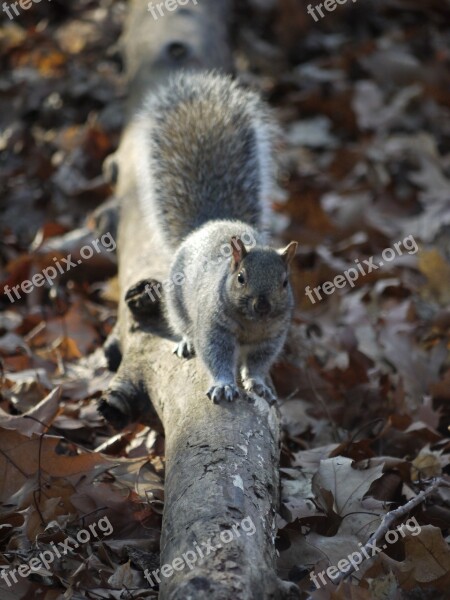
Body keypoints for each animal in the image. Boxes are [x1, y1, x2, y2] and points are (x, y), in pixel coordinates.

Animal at [134, 72, 296, 406]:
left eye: (285, 282)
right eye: (241, 278)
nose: (262, 305)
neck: (252, 323)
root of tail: (211, 224)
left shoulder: (273, 336)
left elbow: (258, 363)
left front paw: (257, 383)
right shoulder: (213, 328)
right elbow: (216, 356)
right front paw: (224, 385)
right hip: (177, 301)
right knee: (182, 324)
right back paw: (185, 341)